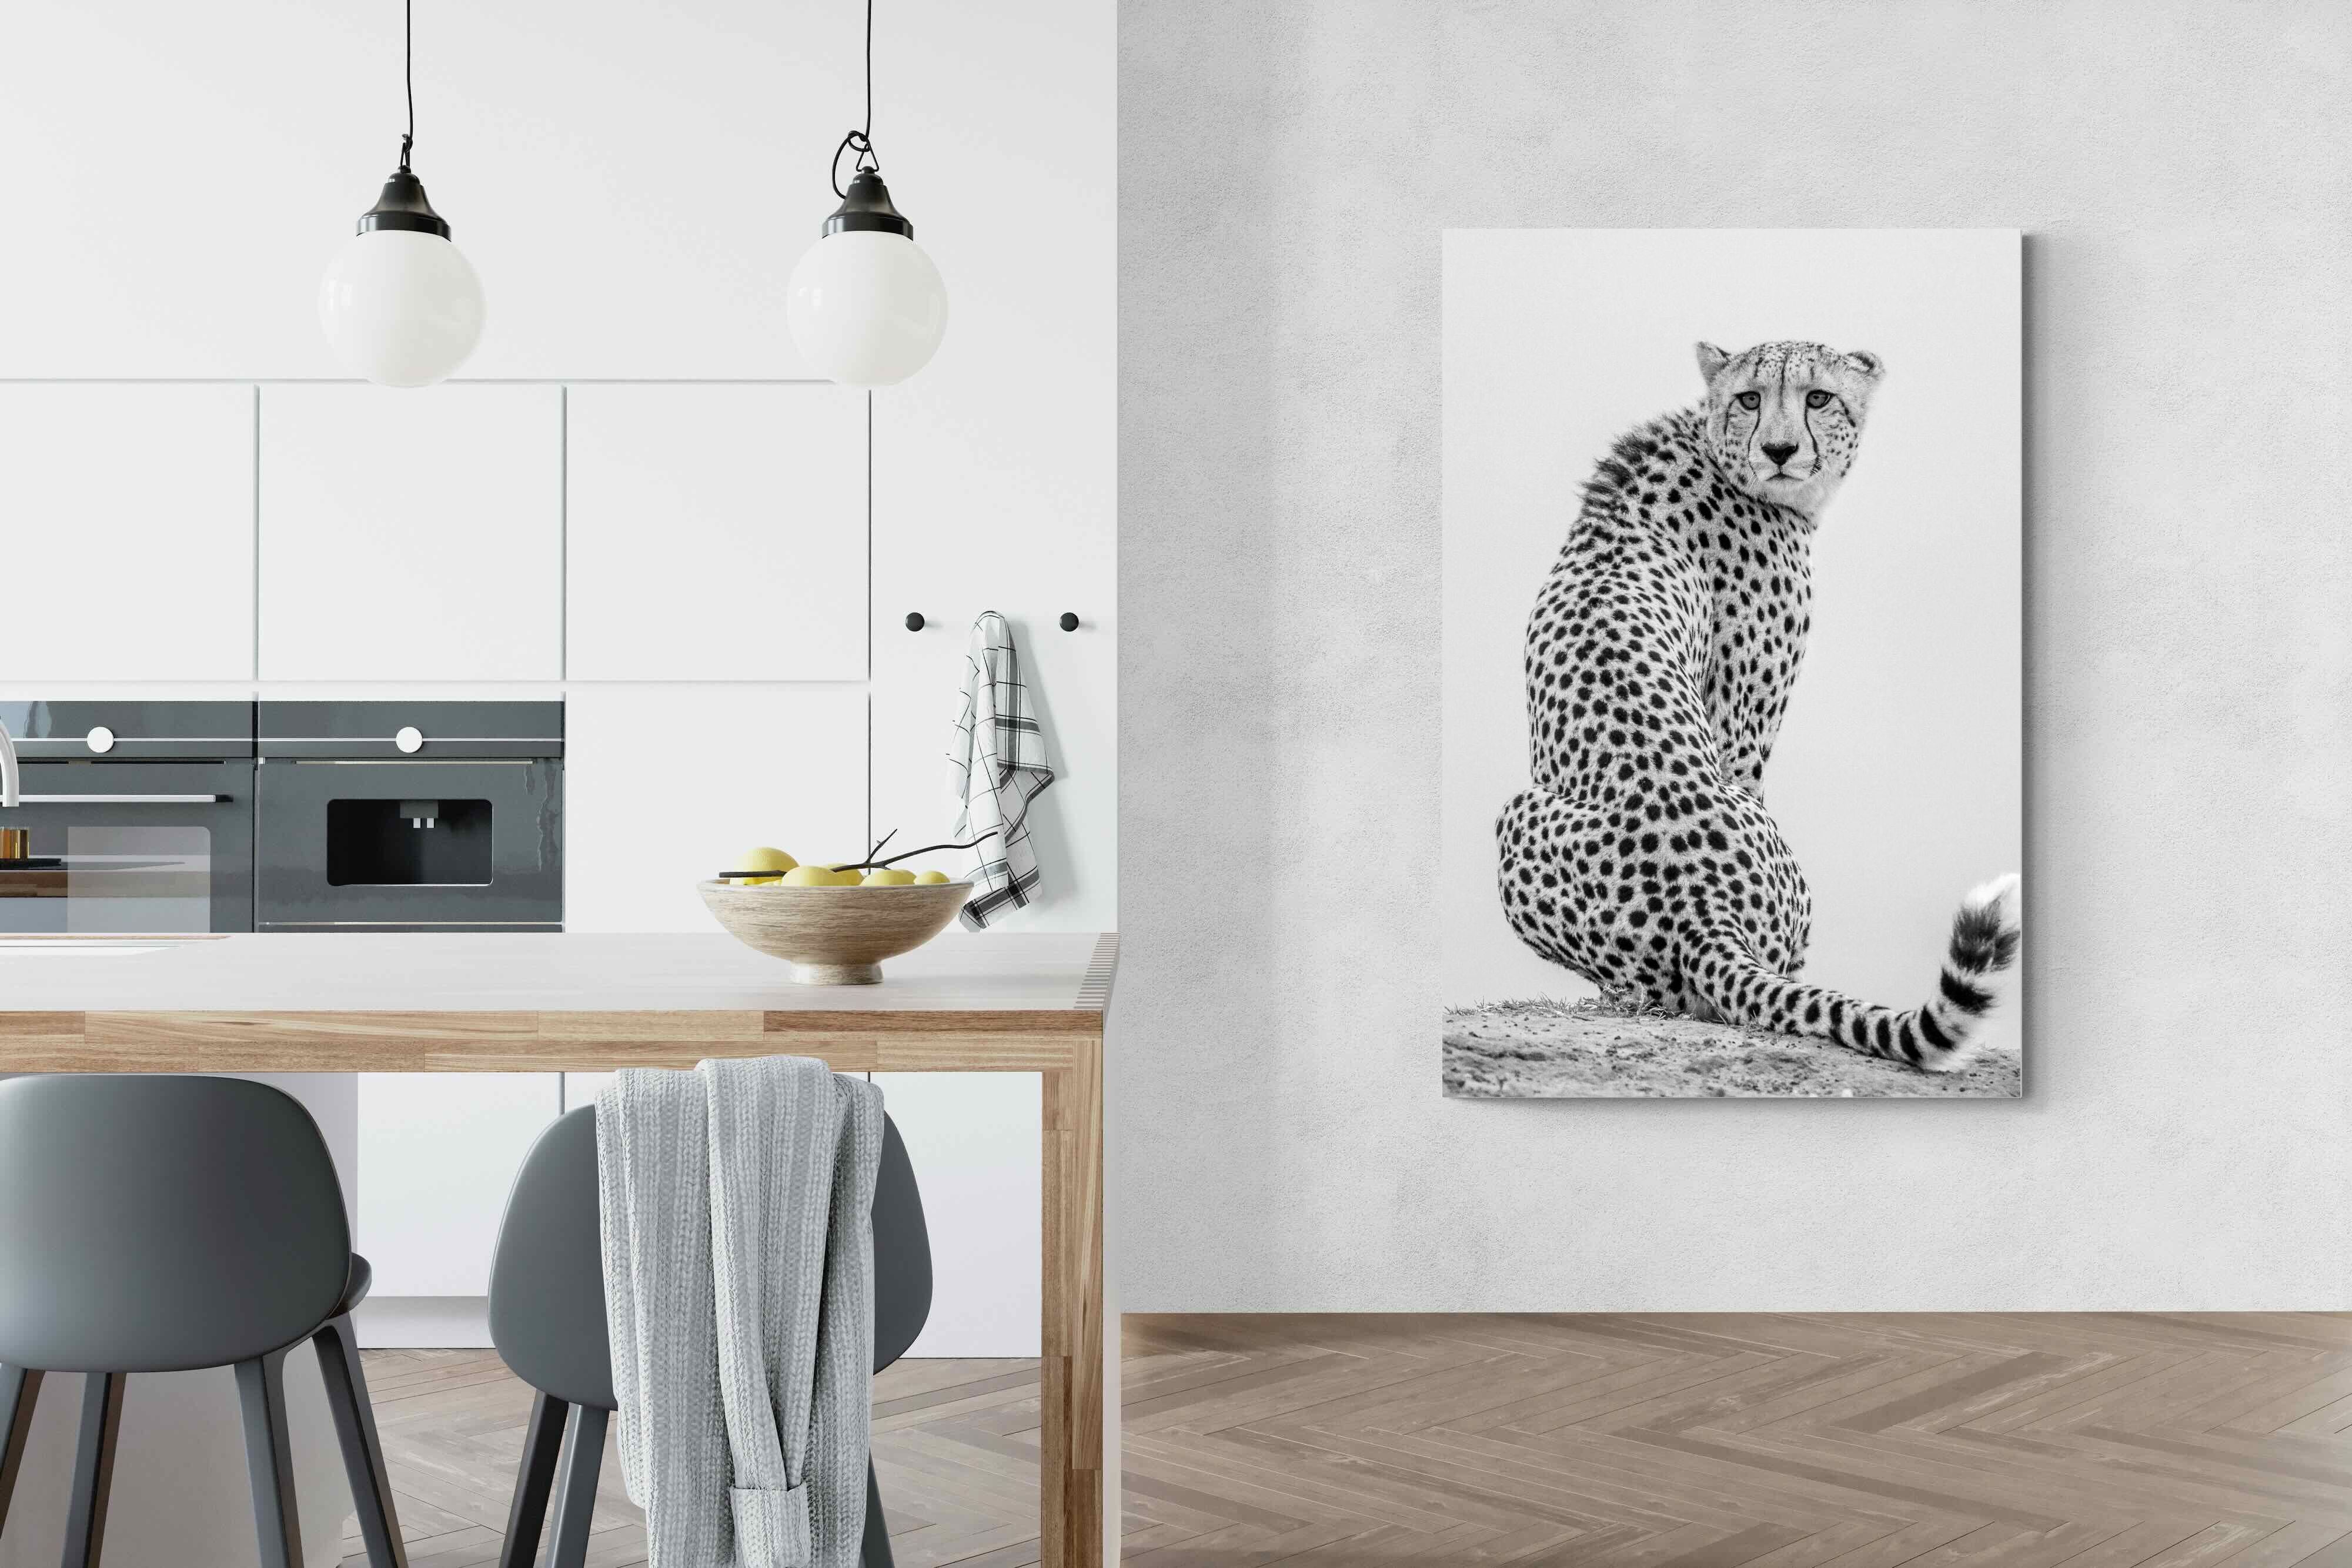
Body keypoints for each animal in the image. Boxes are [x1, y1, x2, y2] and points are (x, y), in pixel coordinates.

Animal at [1495, 340, 2020, 1070]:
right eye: (1750, 398)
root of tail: (1702, 909)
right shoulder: (1742, 729)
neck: (1713, 449)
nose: (1778, 449)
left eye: (1817, 397)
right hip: (1525, 815)